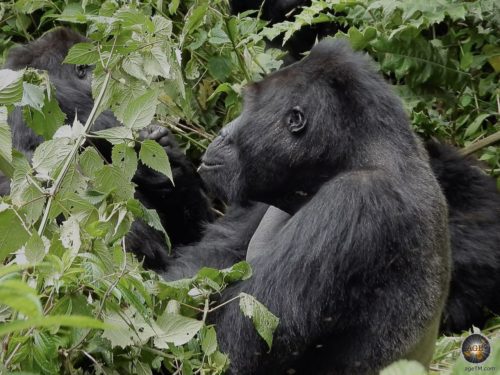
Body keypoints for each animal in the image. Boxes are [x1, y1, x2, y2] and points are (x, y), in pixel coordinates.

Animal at [162, 39, 452, 374]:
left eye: (248, 106)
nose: (222, 132)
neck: (350, 156)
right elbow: (213, 260)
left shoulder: (356, 199)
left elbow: (235, 340)